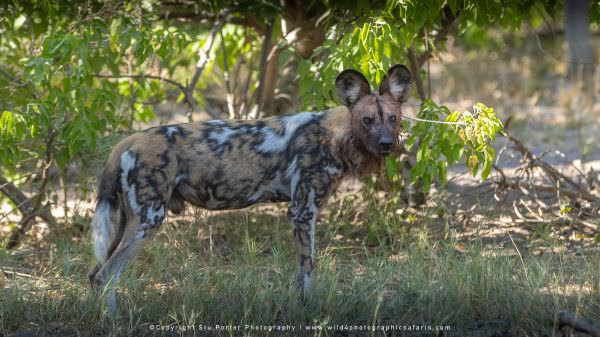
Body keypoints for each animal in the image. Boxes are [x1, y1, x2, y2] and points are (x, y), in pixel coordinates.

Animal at [89, 64, 412, 308]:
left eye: (393, 119)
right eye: (367, 120)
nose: (387, 144)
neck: (333, 136)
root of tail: (129, 140)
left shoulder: (303, 213)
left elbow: (302, 273)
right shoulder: (302, 212)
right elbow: (308, 269)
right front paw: (309, 310)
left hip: (128, 223)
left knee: (95, 275)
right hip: (148, 221)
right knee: (107, 276)